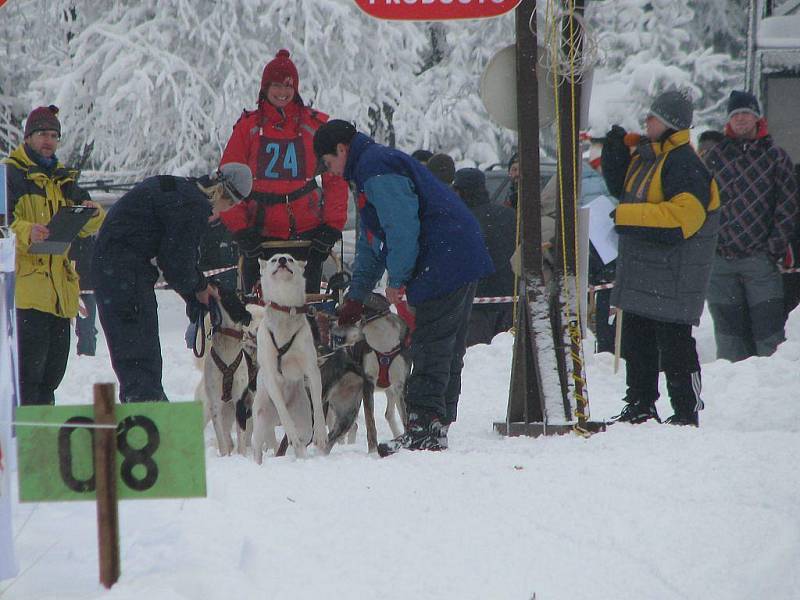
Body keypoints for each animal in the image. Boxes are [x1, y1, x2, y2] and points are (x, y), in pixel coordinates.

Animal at [250, 253, 324, 460]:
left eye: (290, 259)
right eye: (274, 260)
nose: (282, 258)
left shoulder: (312, 370)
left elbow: (318, 405)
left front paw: (321, 434)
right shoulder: (271, 376)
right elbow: (284, 412)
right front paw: (290, 430)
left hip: (304, 422)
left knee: (301, 441)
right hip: (261, 421)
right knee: (257, 447)